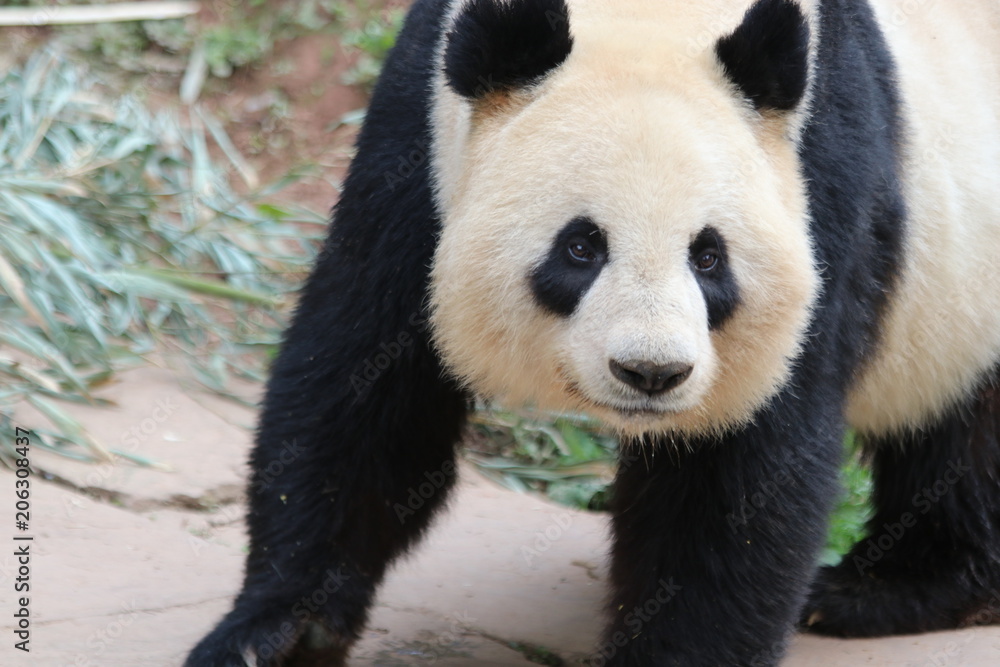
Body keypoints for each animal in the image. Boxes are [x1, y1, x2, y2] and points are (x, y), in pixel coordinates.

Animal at [186, 0, 1000, 665]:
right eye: (582, 246)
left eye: (709, 256)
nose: (651, 373)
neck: (652, 17)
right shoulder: (419, 135)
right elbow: (365, 378)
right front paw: (278, 633)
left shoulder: (818, 178)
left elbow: (740, 470)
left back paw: (884, 587)